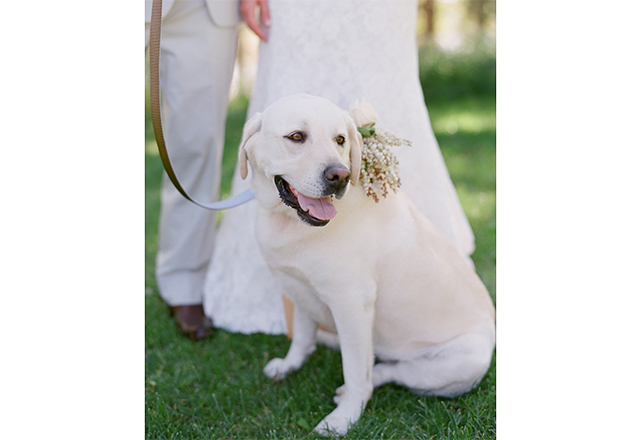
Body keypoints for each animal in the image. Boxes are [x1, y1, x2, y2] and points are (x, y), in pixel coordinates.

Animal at [237, 94, 495, 436]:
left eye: (340, 139)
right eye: (296, 136)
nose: (340, 176)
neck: (289, 222)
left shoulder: (352, 305)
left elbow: (356, 370)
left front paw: (343, 418)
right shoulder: (299, 288)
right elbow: (302, 337)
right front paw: (290, 365)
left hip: (465, 360)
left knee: (389, 372)